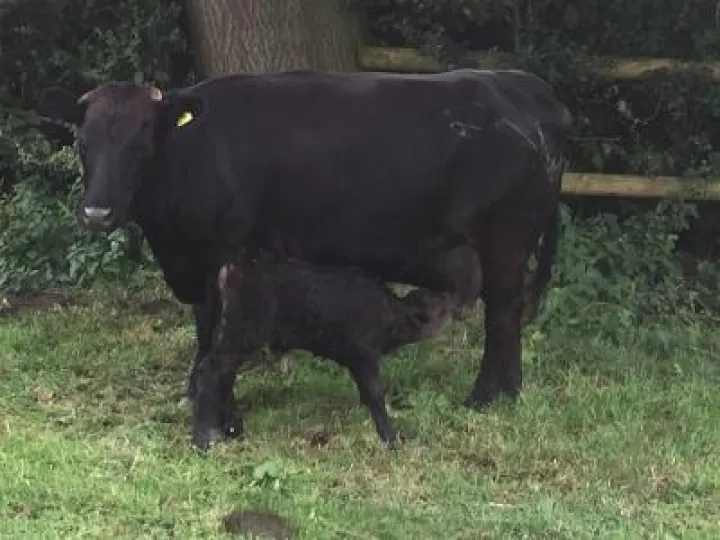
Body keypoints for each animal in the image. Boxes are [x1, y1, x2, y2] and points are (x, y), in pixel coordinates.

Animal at [194, 252, 456, 449]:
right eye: (439, 305)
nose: (454, 299)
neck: (389, 312)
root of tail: (232, 266)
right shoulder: (364, 356)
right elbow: (374, 394)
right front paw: (391, 439)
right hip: (240, 334)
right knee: (210, 372)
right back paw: (204, 438)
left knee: (222, 375)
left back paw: (232, 428)